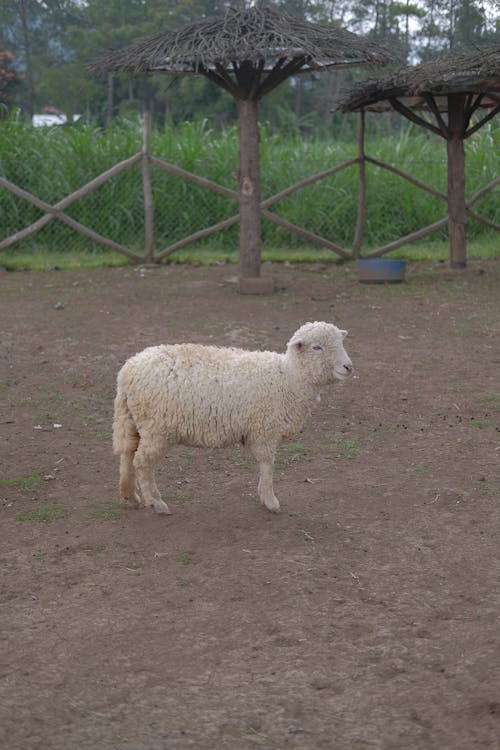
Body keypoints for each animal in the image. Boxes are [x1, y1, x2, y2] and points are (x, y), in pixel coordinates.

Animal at [113, 324, 352, 516]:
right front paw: (270, 500)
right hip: (156, 428)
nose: (348, 367)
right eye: (317, 348)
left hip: (133, 421)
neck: (288, 377)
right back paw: (156, 502)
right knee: (142, 462)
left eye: (340, 343)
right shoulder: (265, 429)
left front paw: (265, 496)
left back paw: (131, 497)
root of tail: (127, 372)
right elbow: (267, 465)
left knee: (127, 454)